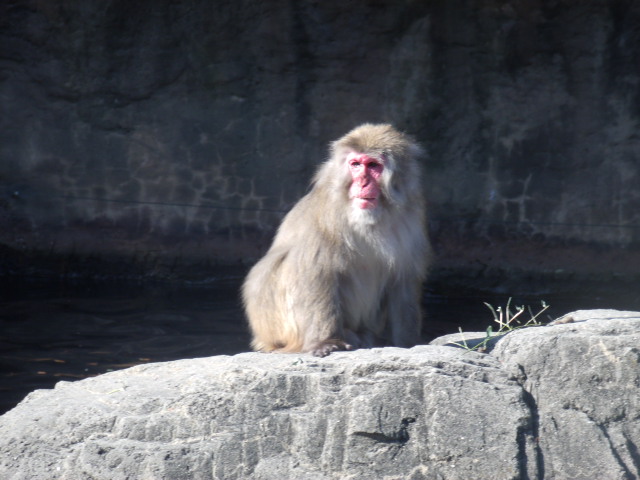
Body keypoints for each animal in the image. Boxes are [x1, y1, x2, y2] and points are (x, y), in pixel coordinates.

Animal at [242, 124, 430, 357]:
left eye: (373, 165)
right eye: (356, 165)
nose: (362, 182)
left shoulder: (411, 216)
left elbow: (403, 281)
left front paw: (409, 343)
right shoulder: (325, 216)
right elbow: (316, 270)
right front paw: (326, 342)